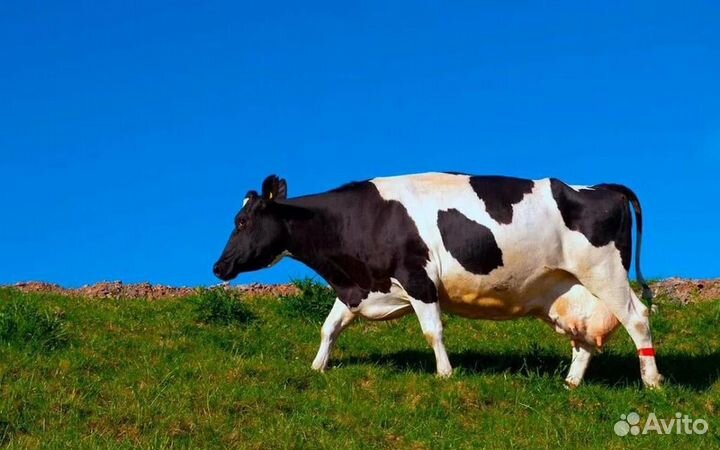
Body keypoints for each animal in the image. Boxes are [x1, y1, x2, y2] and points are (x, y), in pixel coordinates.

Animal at [213, 172, 662, 388]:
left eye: (243, 221)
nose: (218, 267)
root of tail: (601, 187)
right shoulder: (360, 286)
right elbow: (329, 327)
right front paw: (317, 367)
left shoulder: (418, 278)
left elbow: (433, 331)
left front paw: (445, 375)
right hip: (567, 288)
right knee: (584, 338)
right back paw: (570, 384)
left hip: (605, 272)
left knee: (637, 318)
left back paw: (652, 382)